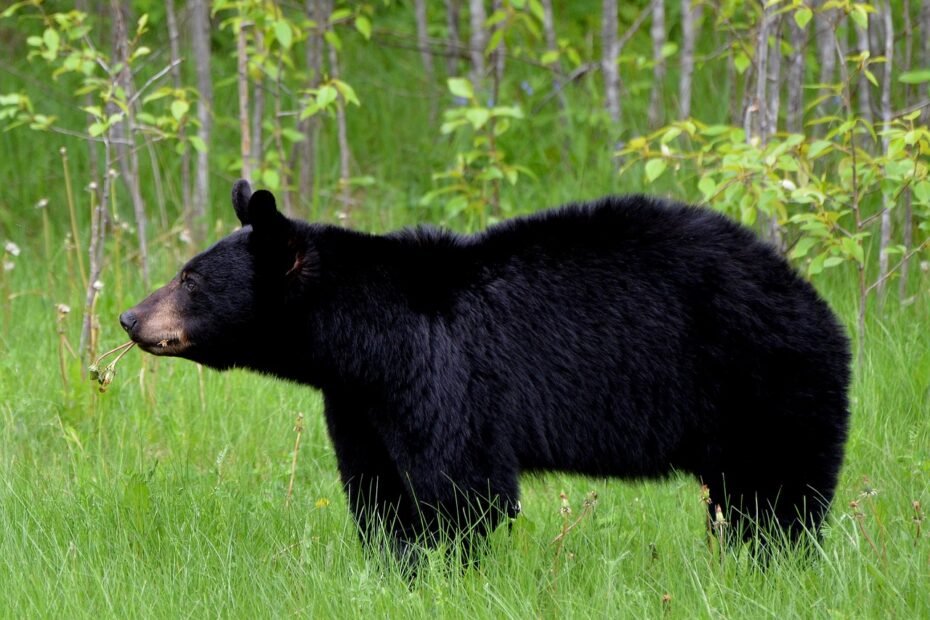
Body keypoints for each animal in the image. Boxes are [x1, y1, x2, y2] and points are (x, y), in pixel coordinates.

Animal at [121, 182, 848, 556]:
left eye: (189, 278)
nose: (130, 318)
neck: (362, 338)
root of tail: (816, 302)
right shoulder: (358, 398)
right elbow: (378, 487)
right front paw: (395, 565)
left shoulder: (443, 372)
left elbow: (461, 487)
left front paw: (443, 567)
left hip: (765, 381)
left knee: (775, 496)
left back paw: (769, 560)